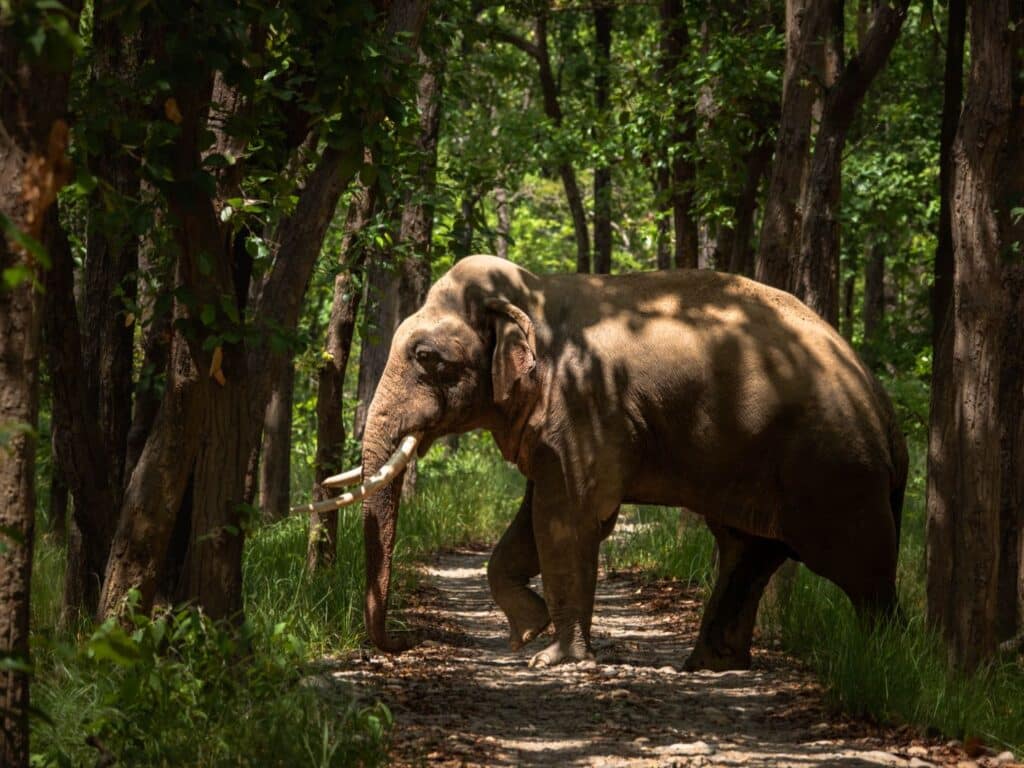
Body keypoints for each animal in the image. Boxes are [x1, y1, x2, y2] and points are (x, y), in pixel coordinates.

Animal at [308, 254, 908, 671]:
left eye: (428, 359)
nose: (406, 641)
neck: (534, 296)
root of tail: (882, 404)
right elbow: (534, 523)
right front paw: (529, 631)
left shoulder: (582, 404)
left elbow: (566, 519)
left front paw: (550, 659)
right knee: (748, 550)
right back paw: (709, 667)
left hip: (834, 471)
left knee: (860, 570)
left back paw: (881, 667)